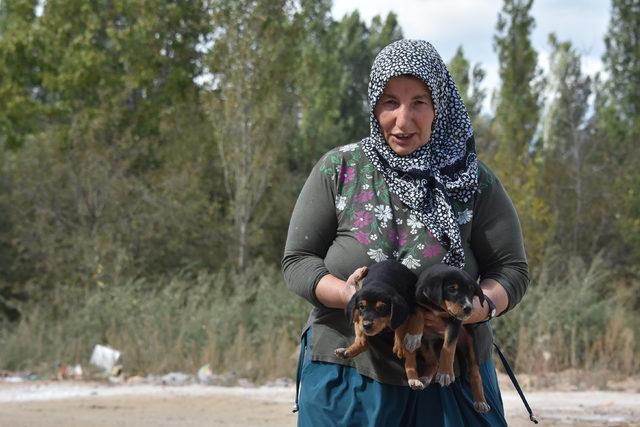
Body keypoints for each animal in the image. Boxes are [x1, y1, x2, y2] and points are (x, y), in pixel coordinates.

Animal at [336, 260, 424, 392]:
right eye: (362, 307)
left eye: (381, 308)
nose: (367, 325)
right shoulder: (358, 313)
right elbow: (361, 335)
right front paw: (352, 348)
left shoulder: (405, 310)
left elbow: (399, 326)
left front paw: (398, 344)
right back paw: (347, 351)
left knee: (410, 358)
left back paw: (414, 379)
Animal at [416, 264, 490, 414]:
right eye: (452, 289)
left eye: (471, 291)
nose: (468, 308)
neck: (439, 307)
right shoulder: (419, 304)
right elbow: (419, 314)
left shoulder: (455, 323)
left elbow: (448, 348)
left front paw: (445, 373)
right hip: (426, 342)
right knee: (433, 361)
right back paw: (425, 378)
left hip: (470, 341)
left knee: (475, 371)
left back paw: (480, 401)